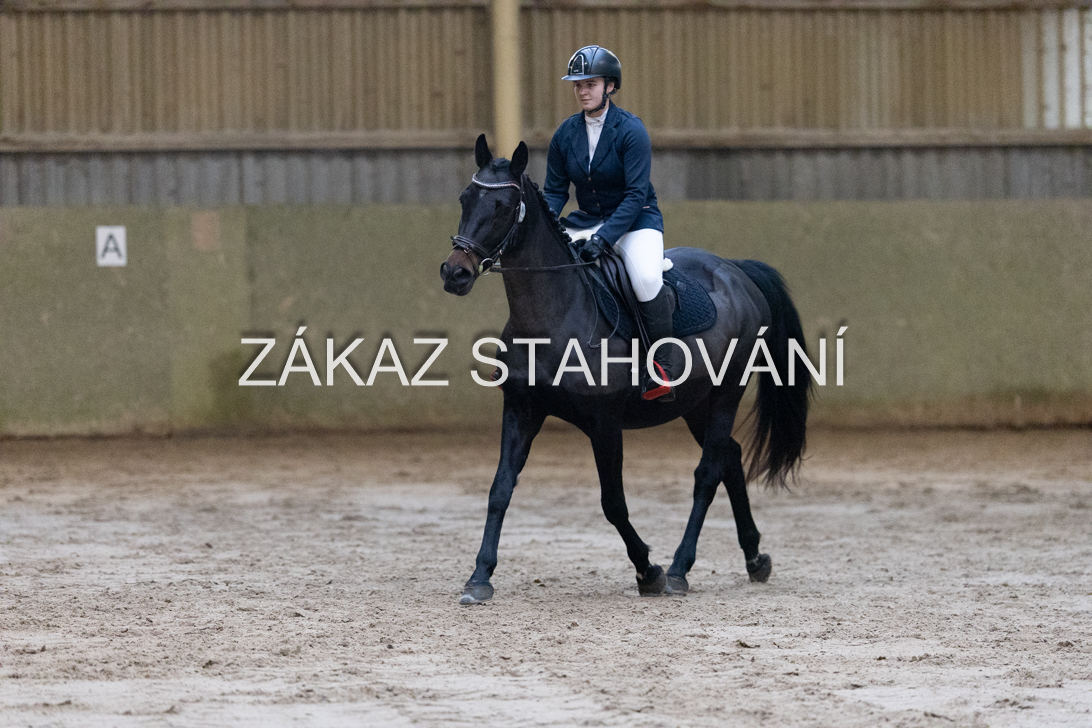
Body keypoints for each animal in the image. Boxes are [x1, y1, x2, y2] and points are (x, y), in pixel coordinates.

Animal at [440, 135, 811, 604]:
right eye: (465, 198)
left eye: (504, 206)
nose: (455, 273)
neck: (556, 314)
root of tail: (735, 270)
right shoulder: (522, 409)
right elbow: (500, 489)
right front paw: (479, 576)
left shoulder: (604, 421)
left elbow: (613, 502)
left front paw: (648, 571)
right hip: (696, 403)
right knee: (729, 457)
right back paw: (754, 558)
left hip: (728, 390)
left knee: (708, 472)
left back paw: (679, 569)